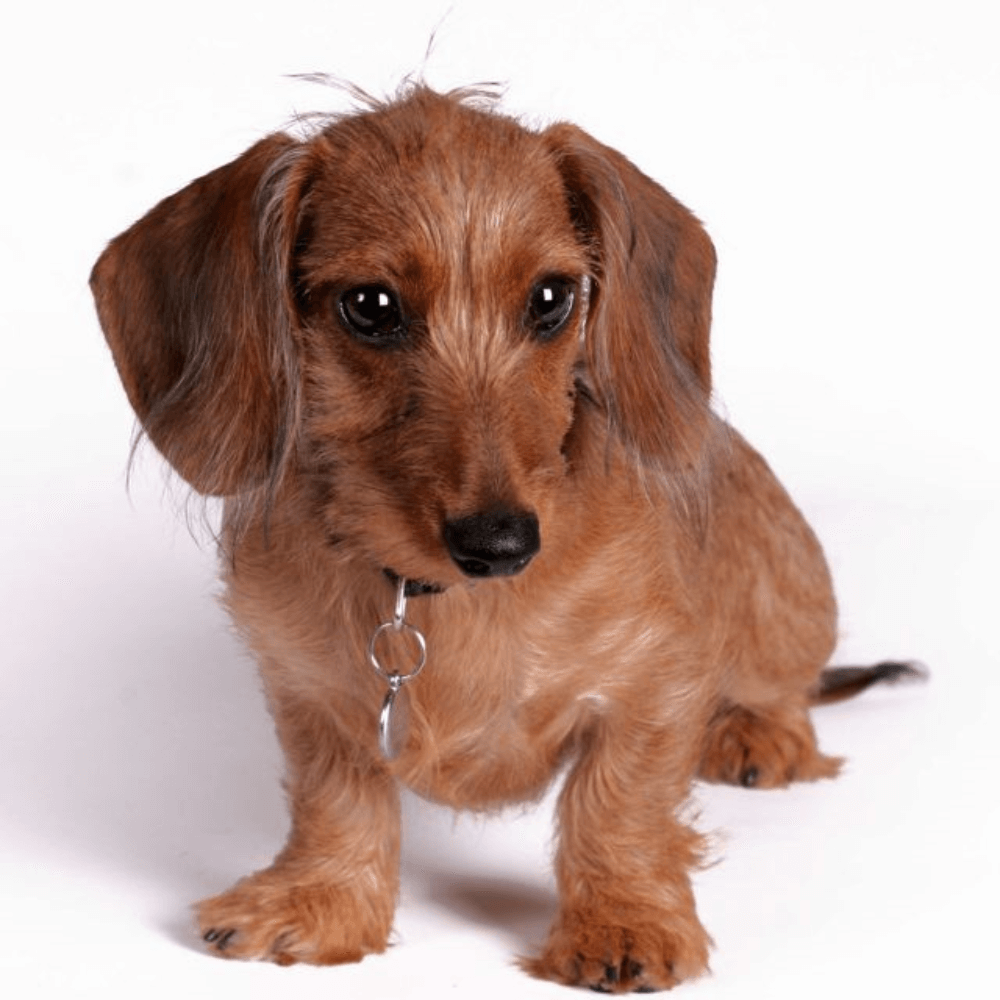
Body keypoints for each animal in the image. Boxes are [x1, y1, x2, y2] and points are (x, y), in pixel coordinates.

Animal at [92, 86, 920, 992]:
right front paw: (321, 901)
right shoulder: (310, 692)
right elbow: (336, 798)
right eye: (370, 306)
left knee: (785, 683)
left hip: (781, 591)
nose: (503, 544)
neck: (438, 599)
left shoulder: (657, 677)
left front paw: (623, 923)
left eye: (552, 297)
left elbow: (617, 803)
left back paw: (760, 733)